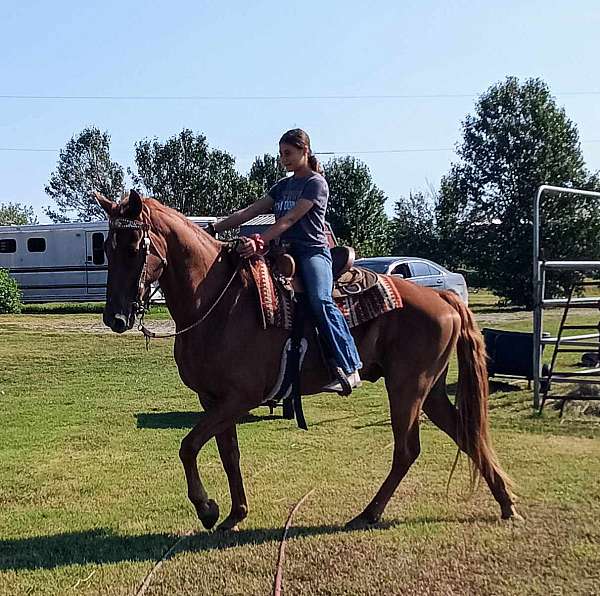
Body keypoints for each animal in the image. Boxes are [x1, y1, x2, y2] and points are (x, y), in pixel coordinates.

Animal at [95, 191, 520, 532]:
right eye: (107, 250)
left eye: (134, 246)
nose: (115, 317)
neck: (216, 302)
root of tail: (444, 299)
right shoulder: (214, 400)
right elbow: (227, 454)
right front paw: (234, 513)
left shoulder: (240, 397)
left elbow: (188, 446)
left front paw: (206, 508)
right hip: (430, 391)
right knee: (465, 434)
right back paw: (505, 503)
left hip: (407, 387)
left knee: (407, 450)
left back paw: (369, 513)